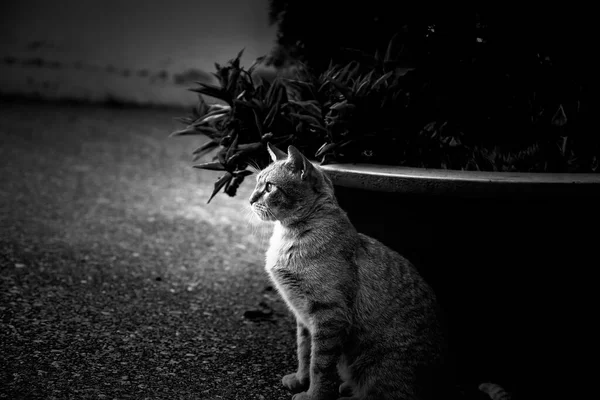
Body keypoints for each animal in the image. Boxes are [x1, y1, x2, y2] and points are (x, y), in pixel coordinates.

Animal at [248, 145, 450, 400]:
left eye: (269, 187)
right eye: (257, 183)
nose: (250, 200)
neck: (290, 237)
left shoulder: (328, 314)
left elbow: (320, 365)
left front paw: (313, 395)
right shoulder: (303, 318)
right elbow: (304, 353)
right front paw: (300, 380)